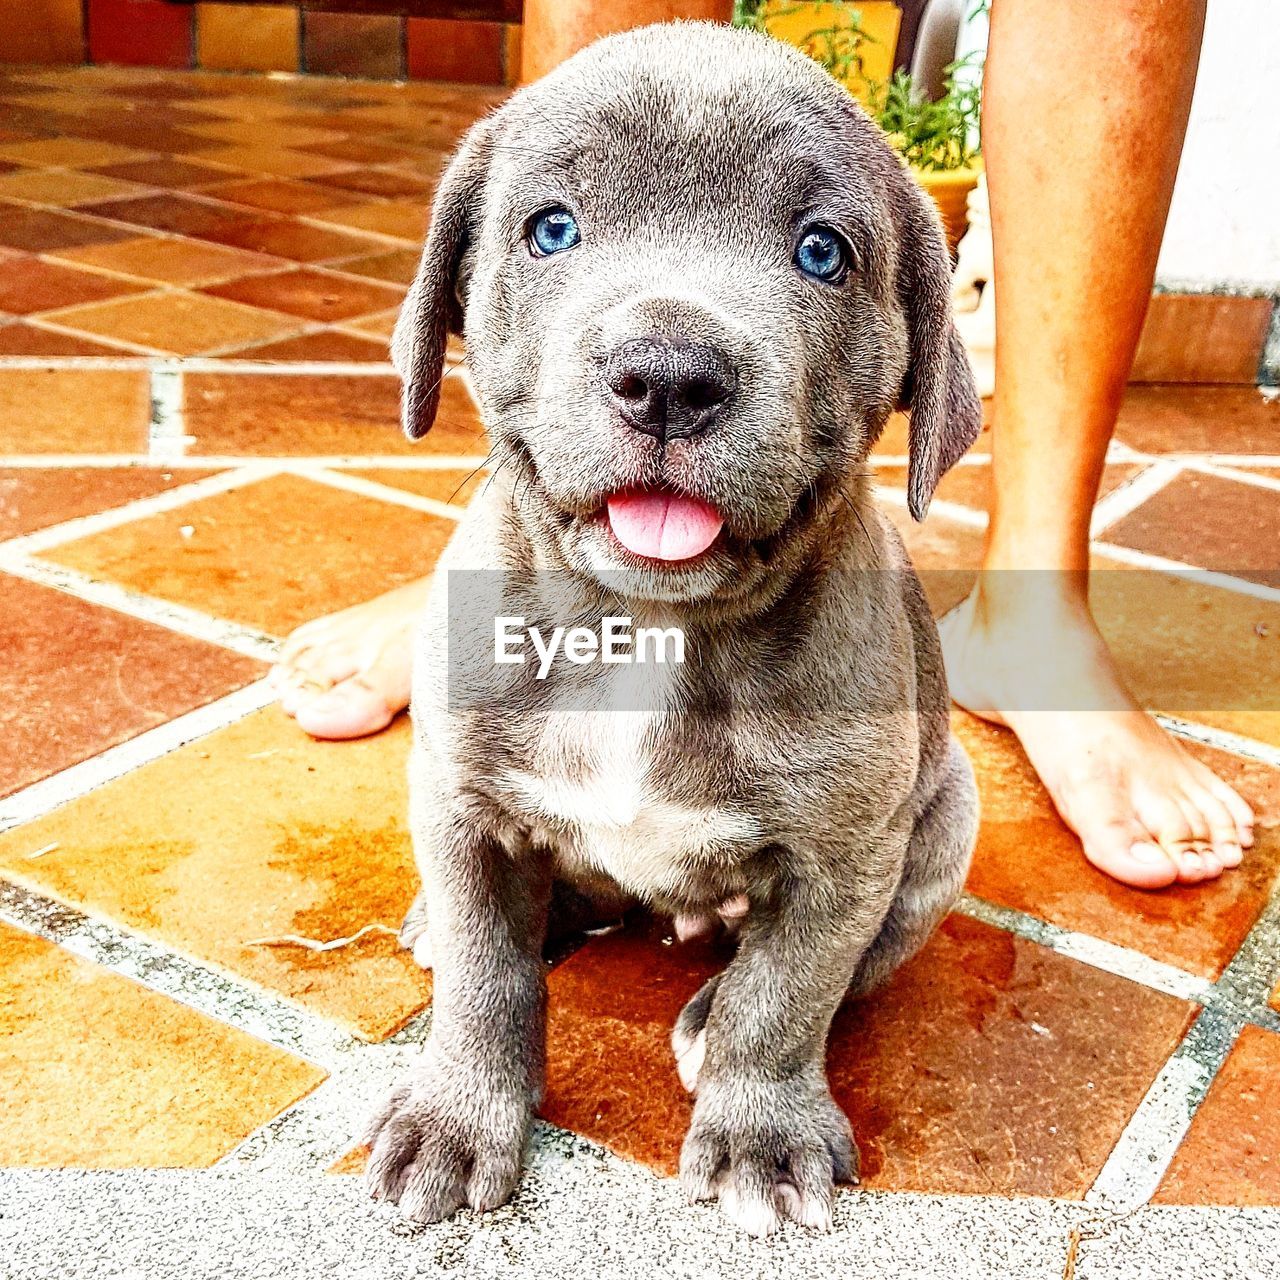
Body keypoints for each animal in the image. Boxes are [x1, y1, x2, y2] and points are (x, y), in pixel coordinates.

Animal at [366, 20, 983, 1233]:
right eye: (550, 229)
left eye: (822, 252)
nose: (667, 376)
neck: (642, 626)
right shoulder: (456, 800)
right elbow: (484, 972)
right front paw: (455, 1115)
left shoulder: (846, 853)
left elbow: (788, 993)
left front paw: (760, 1130)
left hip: (945, 818)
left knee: (855, 961)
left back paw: (704, 1007)